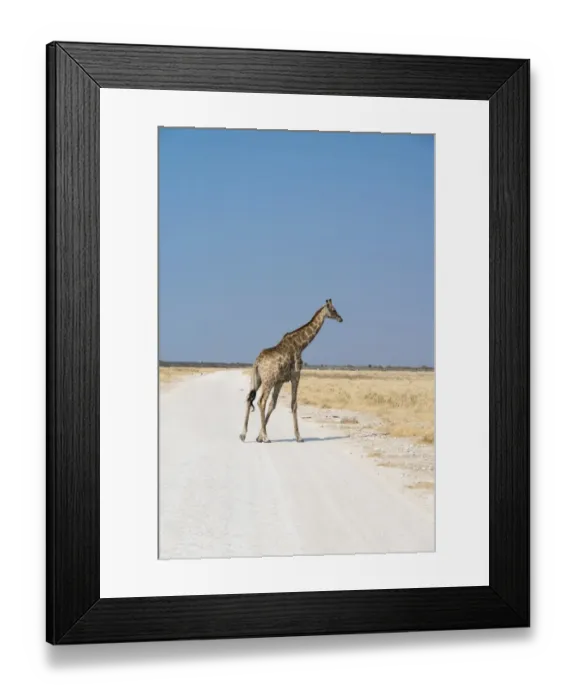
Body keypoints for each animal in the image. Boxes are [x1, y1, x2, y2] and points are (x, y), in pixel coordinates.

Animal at [239, 299, 343, 444]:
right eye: (333, 309)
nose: (340, 318)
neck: (301, 345)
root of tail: (257, 362)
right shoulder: (295, 376)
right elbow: (293, 404)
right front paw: (298, 437)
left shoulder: (280, 381)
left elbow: (273, 404)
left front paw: (258, 436)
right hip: (268, 381)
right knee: (261, 401)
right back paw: (266, 437)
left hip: (256, 379)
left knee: (249, 399)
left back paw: (243, 435)